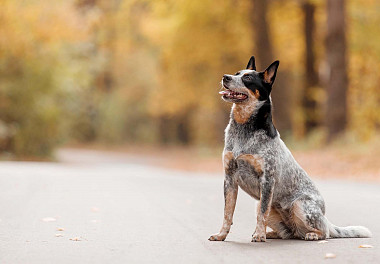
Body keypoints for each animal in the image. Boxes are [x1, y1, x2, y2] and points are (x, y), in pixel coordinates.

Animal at [208, 56, 372, 242]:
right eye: (237, 73)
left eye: (247, 78)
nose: (225, 77)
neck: (243, 129)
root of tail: (326, 219)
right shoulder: (229, 177)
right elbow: (227, 212)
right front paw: (221, 235)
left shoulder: (267, 180)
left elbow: (262, 214)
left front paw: (259, 235)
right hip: (260, 204)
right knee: (288, 232)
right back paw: (271, 233)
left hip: (301, 205)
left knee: (324, 232)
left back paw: (310, 235)